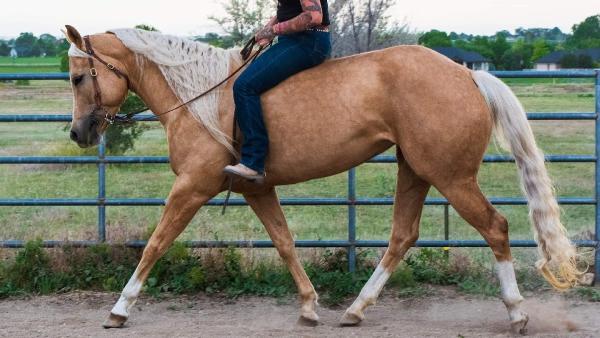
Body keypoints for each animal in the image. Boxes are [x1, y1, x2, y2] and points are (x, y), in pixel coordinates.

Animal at [63, 25, 580, 332]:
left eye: (77, 77)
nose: (78, 132)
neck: (199, 97)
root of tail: (466, 75)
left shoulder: (192, 186)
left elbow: (155, 243)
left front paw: (119, 309)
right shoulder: (257, 188)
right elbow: (285, 241)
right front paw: (310, 306)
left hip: (450, 175)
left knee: (495, 227)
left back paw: (516, 312)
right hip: (415, 170)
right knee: (403, 235)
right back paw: (355, 309)